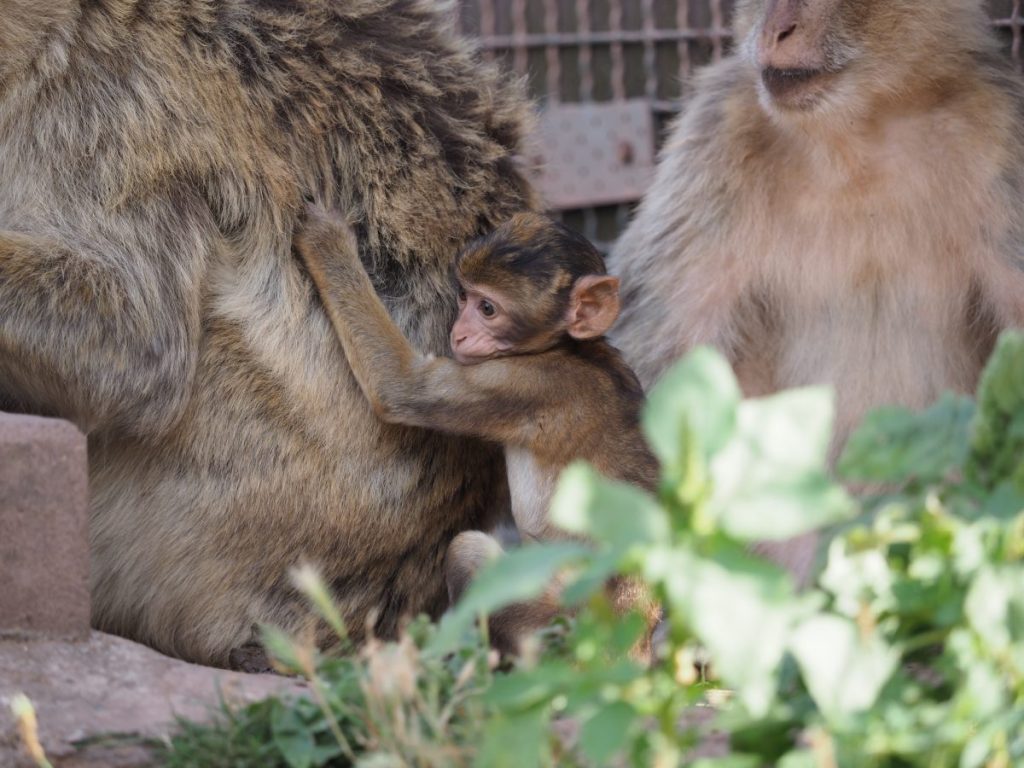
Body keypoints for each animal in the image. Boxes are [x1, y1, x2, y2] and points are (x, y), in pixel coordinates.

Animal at [292, 205, 659, 663]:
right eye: (465, 297)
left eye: (488, 308)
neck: (567, 347)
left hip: (555, 630)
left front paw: (328, 243)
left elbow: (402, 387)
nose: (459, 332)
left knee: (469, 550)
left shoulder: (530, 383)